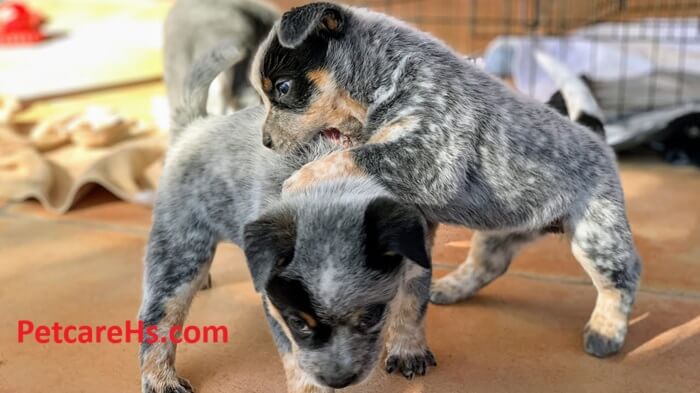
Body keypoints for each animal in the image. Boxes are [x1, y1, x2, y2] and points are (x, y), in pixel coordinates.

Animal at [138, 43, 438, 392]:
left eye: (371, 316)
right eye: (298, 322)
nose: (339, 380)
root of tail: (193, 127)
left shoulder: (418, 251)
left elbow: (411, 305)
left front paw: (407, 350)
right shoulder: (277, 306)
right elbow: (295, 355)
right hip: (180, 251)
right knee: (158, 316)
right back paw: (161, 379)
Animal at [250, 2, 640, 358]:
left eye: (282, 87)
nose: (265, 142)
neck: (390, 71)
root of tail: (596, 137)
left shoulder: (430, 155)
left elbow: (353, 156)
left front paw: (296, 181)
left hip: (596, 235)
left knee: (623, 278)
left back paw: (605, 332)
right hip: (502, 230)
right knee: (489, 264)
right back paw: (451, 288)